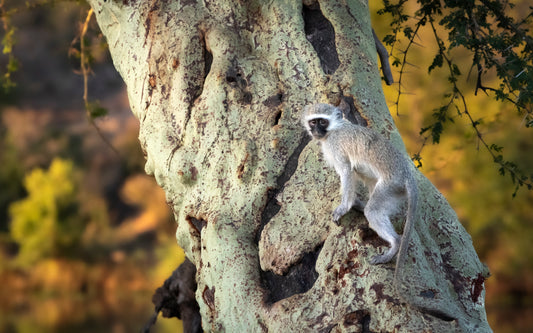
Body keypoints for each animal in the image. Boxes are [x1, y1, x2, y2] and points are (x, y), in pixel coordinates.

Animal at [302, 104, 418, 264]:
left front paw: (344, 207)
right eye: (313, 122)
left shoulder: (335, 146)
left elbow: (346, 170)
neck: (334, 129)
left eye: (323, 122)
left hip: (391, 185)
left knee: (373, 211)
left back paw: (394, 243)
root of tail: (407, 174)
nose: (316, 130)